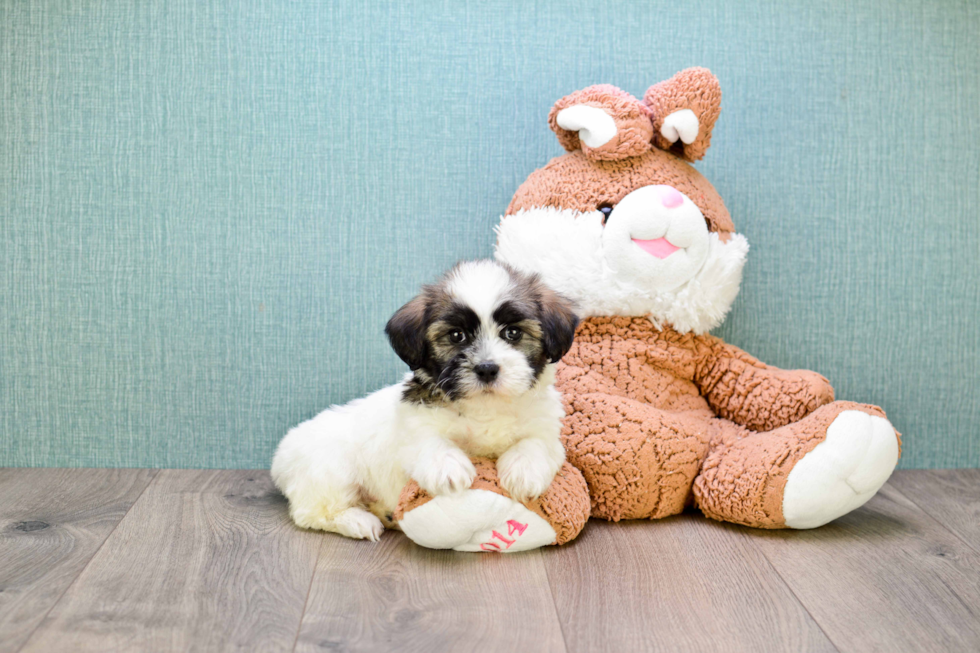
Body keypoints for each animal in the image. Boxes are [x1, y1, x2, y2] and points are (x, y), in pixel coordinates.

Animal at [268, 260, 580, 540]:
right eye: (457, 335)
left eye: (513, 333)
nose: (487, 368)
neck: (484, 409)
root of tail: (280, 458)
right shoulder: (414, 426)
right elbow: (431, 442)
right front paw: (449, 469)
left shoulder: (545, 429)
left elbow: (535, 443)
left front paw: (523, 471)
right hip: (331, 471)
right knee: (311, 513)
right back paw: (358, 521)